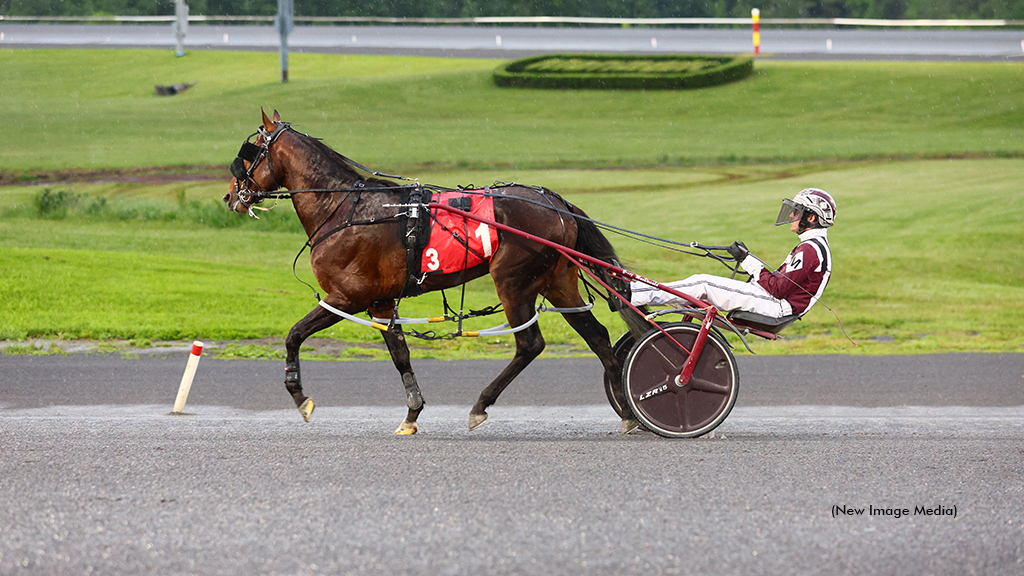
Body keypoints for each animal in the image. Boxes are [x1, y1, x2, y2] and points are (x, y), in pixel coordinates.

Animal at [224, 109, 643, 432]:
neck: (345, 208)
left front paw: (300, 396)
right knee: (597, 335)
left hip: (513, 280)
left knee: (530, 344)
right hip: (557, 281)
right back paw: (627, 412)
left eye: (248, 152)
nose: (230, 196)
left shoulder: (347, 296)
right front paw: (411, 413)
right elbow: (400, 354)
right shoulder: (380, 301)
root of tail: (555, 202)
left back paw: (481, 405)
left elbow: (294, 335)